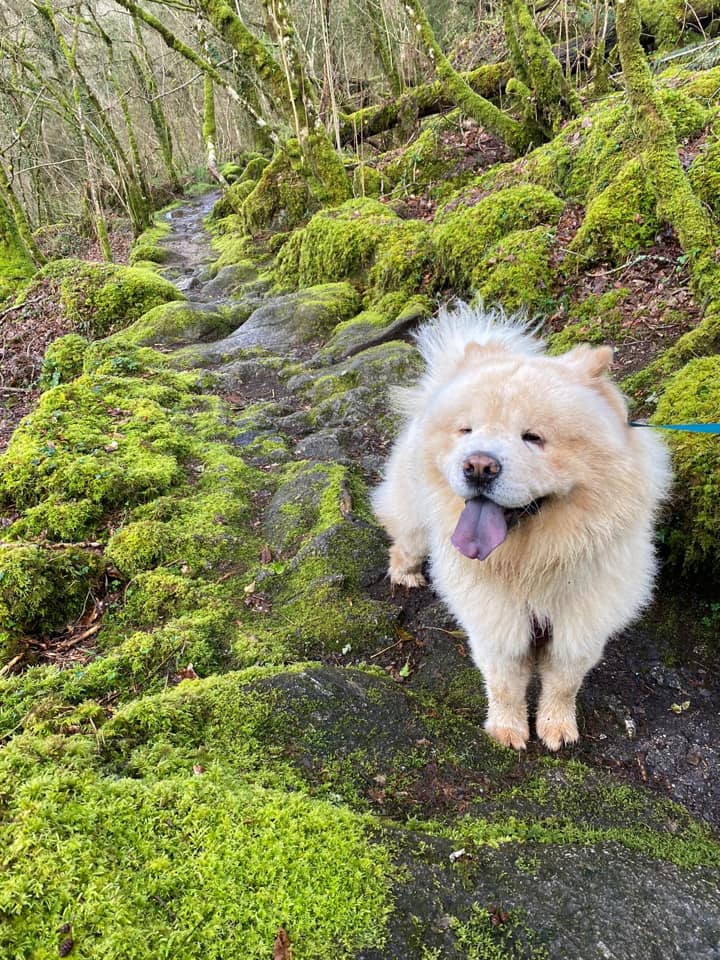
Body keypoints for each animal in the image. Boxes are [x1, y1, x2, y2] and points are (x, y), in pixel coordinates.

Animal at [374, 304, 672, 752]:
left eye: (533, 438)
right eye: (467, 430)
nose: (478, 465)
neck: (532, 564)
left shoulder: (583, 620)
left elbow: (563, 683)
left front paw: (557, 729)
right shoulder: (494, 618)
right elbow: (504, 684)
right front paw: (507, 731)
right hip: (413, 514)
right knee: (404, 541)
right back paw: (405, 575)